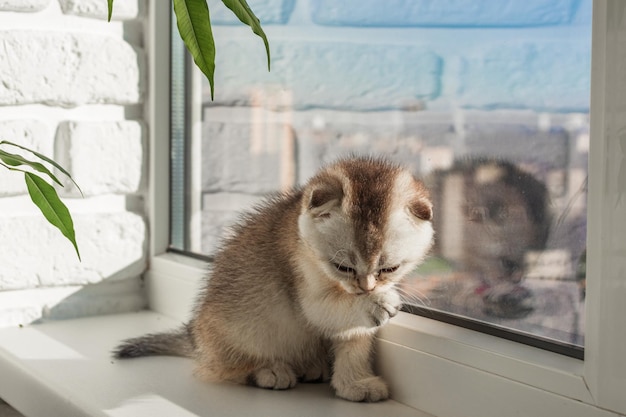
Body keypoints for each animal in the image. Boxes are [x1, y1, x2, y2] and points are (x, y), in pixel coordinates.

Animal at [113, 156, 434, 400]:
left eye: (389, 269)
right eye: (343, 267)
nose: (365, 288)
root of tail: (196, 341)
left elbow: (354, 341)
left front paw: (355, 384)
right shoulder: (301, 277)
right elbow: (323, 310)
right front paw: (375, 304)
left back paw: (312, 366)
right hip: (235, 332)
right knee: (225, 367)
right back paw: (269, 370)